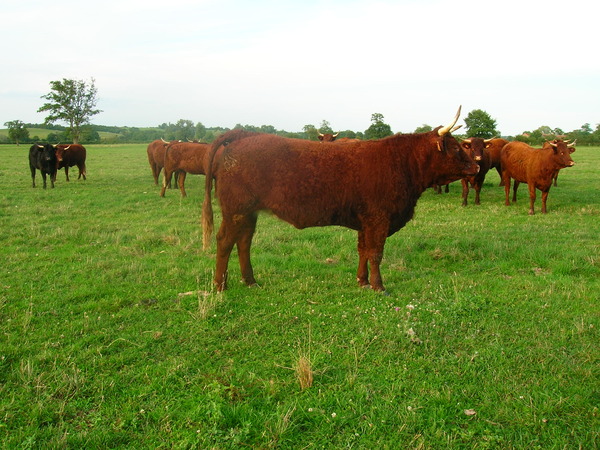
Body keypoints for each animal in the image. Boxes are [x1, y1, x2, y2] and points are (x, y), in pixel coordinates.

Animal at [202, 108, 478, 292]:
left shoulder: (366, 221)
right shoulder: (379, 219)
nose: (476, 166)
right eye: (455, 148)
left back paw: (250, 281)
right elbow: (376, 253)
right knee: (225, 241)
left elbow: (363, 251)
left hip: (249, 213)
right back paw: (219, 285)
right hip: (236, 210)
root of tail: (243, 135)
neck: (402, 162)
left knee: (244, 242)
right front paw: (379, 286)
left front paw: (362, 281)